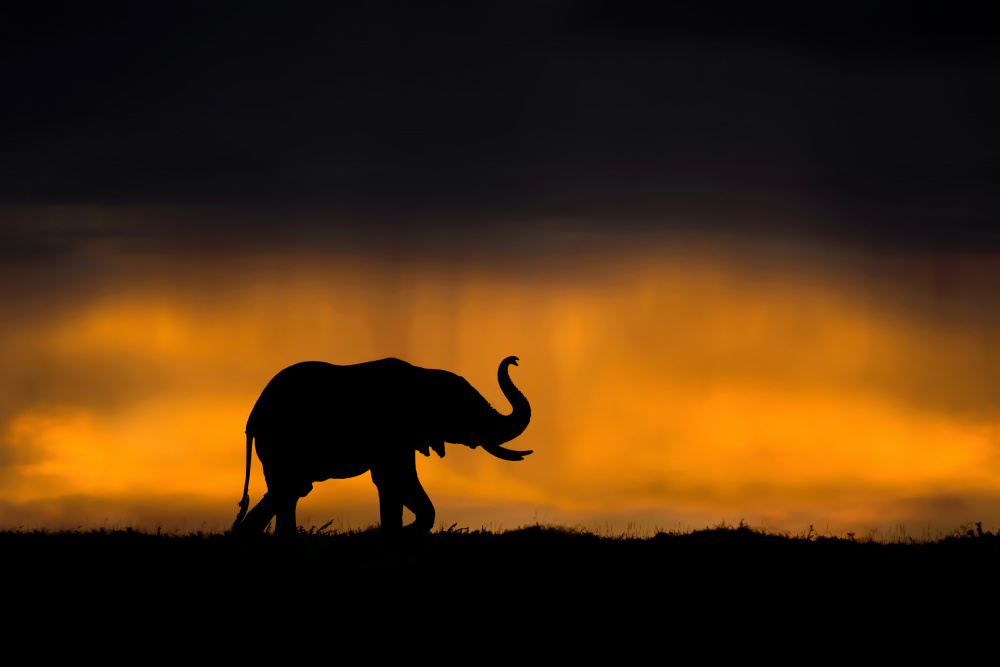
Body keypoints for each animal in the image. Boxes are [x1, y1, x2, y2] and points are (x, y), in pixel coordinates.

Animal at [231, 356, 531, 537]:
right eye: (463, 411)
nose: (514, 360)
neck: (422, 376)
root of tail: (252, 417)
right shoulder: (392, 432)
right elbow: (397, 478)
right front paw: (393, 532)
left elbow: (391, 482)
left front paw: (391, 532)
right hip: (280, 442)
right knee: (289, 489)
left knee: (288, 491)